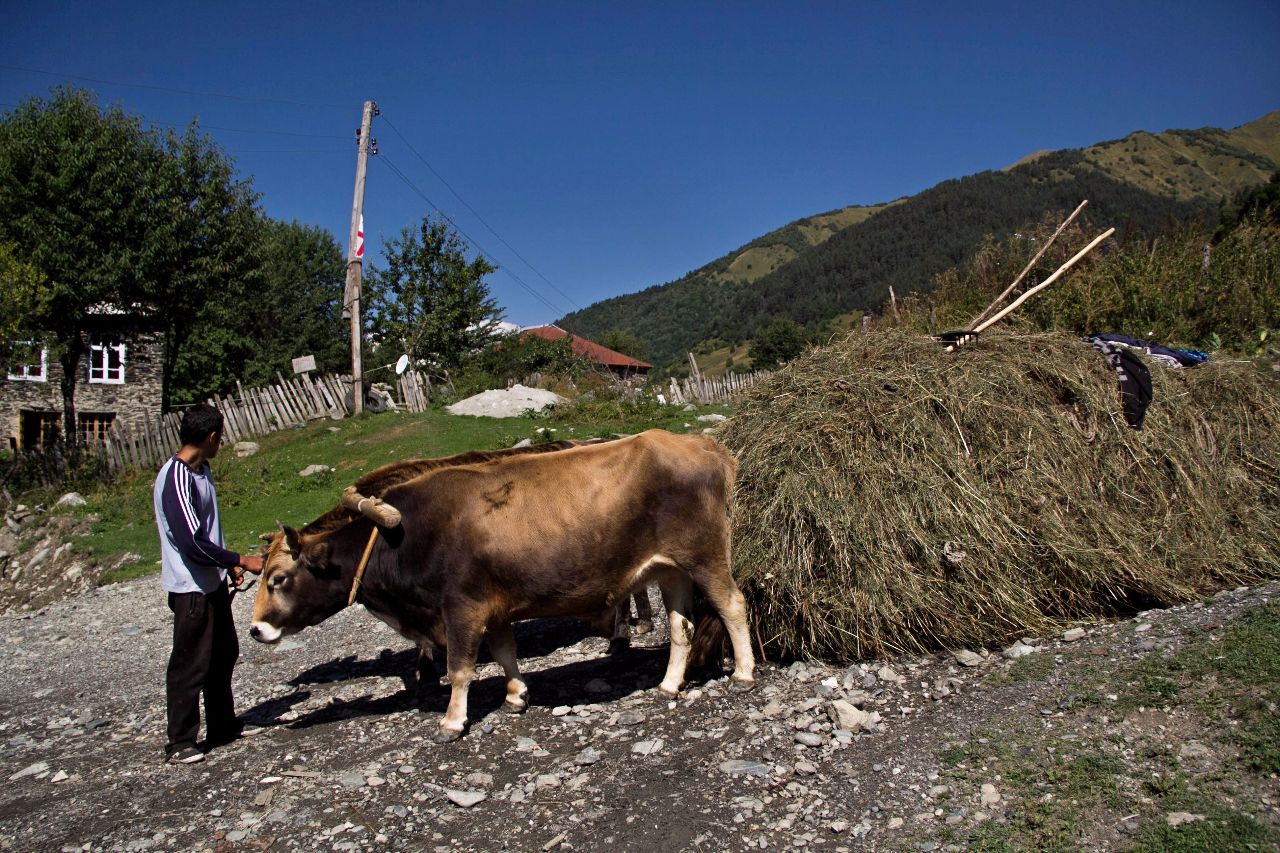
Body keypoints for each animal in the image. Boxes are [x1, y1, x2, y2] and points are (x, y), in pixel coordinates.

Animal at [244, 432, 752, 737]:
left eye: (279, 578)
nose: (255, 629)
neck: (405, 535)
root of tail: (702, 443)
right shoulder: (496, 607)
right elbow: (505, 652)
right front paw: (515, 695)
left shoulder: (461, 607)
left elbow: (460, 668)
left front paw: (452, 720)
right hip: (671, 570)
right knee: (681, 627)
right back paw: (668, 684)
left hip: (706, 556)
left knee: (732, 605)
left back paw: (744, 673)